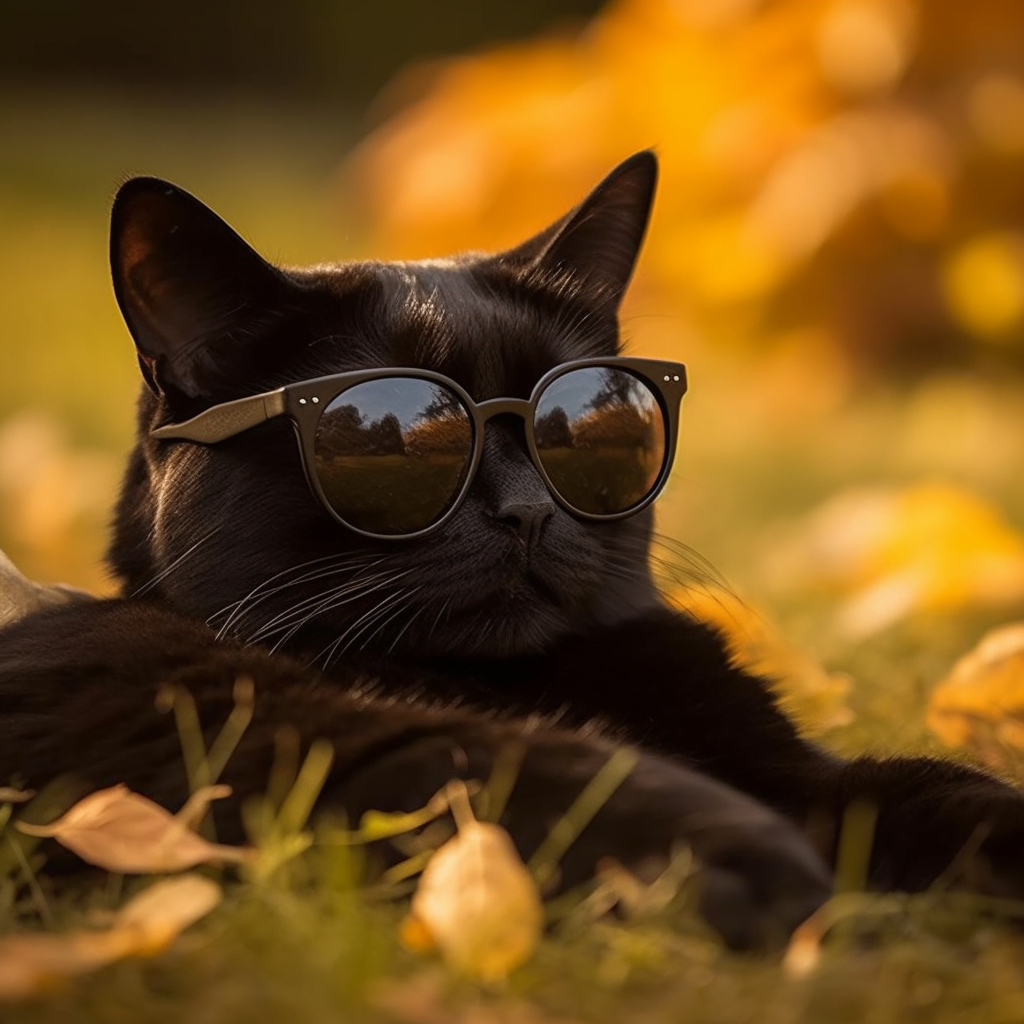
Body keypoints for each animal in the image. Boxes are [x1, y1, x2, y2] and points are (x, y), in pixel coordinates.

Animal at [2, 153, 1024, 950]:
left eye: (586, 421)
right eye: (394, 438)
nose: (529, 511)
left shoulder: (793, 763)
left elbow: (933, 785)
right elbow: (540, 770)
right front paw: (772, 875)